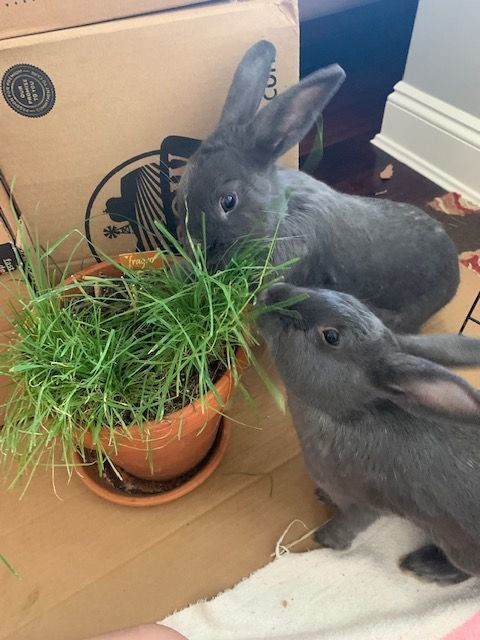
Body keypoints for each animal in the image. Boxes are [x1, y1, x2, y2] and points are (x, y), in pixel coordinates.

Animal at [256, 281, 480, 585]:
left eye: (331, 336)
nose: (271, 292)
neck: (344, 415)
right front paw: (322, 496)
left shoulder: (366, 505)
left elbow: (347, 526)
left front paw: (324, 540)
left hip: (461, 549)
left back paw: (422, 567)